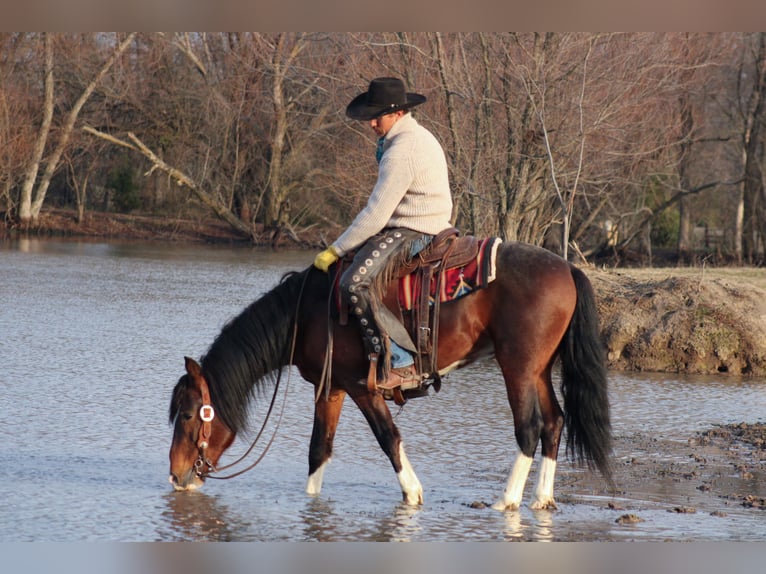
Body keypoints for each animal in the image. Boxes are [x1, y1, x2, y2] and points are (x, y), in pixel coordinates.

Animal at [168, 240, 612, 510]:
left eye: (188, 414)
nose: (176, 474)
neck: (307, 314)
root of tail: (567, 269)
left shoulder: (362, 388)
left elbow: (388, 437)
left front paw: (413, 492)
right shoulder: (330, 388)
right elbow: (318, 449)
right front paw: (312, 502)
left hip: (517, 367)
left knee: (529, 426)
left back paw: (508, 500)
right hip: (539, 369)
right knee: (554, 422)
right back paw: (542, 498)